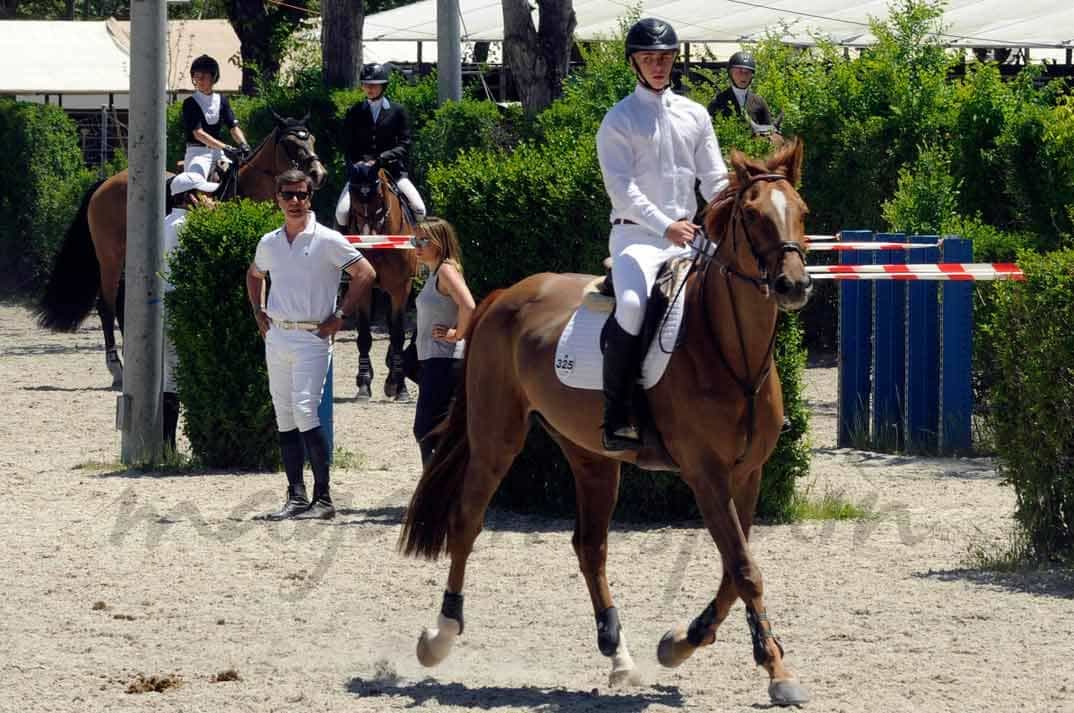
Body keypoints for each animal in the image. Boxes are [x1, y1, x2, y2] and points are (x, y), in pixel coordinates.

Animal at [36, 113, 326, 386]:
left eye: (311, 139)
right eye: (290, 143)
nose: (318, 174)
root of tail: (107, 183)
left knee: (122, 303)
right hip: (110, 257)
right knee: (106, 306)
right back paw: (116, 368)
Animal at [341, 163, 416, 403]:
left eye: (379, 198)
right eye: (353, 197)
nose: (366, 240)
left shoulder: (401, 288)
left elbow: (398, 334)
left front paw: (400, 388)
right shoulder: (363, 288)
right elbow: (364, 335)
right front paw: (364, 384)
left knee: (393, 329)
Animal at [399, 140, 807, 708]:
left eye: (802, 212)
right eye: (752, 215)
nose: (794, 285)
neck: (731, 353)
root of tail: (505, 295)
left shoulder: (748, 475)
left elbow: (735, 569)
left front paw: (680, 642)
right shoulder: (706, 475)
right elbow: (745, 569)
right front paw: (777, 671)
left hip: (591, 457)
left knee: (590, 546)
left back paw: (619, 655)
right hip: (496, 440)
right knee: (466, 523)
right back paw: (439, 636)